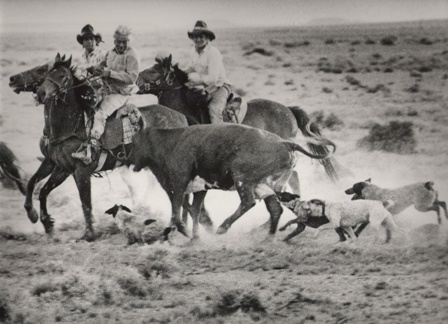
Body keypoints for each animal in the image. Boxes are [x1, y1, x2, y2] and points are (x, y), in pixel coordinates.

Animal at [30, 53, 192, 240]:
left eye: (63, 76)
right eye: (48, 73)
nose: (41, 93)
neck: (69, 128)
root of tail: (181, 117)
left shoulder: (81, 171)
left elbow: (86, 203)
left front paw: (89, 234)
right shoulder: (60, 166)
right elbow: (39, 188)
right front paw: (43, 221)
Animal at [130, 123, 336, 239]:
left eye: (134, 142)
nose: (127, 157)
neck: (172, 142)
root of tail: (286, 143)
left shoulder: (178, 184)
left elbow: (177, 211)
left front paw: (183, 232)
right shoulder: (199, 189)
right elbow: (194, 210)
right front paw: (195, 236)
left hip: (243, 180)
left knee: (248, 202)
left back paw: (223, 228)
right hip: (267, 186)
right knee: (275, 208)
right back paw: (267, 237)